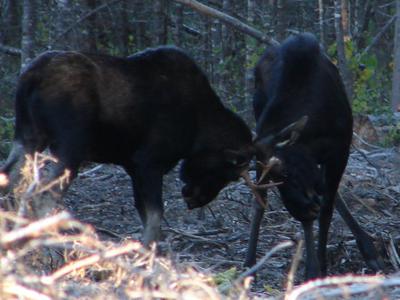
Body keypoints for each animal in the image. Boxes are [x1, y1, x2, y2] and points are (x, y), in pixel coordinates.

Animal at [0, 46, 256, 244]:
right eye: (230, 173)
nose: (195, 200)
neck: (199, 130)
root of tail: (30, 78)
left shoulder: (133, 166)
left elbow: (145, 214)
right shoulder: (149, 162)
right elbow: (155, 217)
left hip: (28, 134)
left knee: (10, 179)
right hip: (71, 146)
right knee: (42, 195)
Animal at [245, 34, 382, 280]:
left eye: (285, 171)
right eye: (276, 177)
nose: (304, 208)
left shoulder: (340, 149)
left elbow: (326, 209)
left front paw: (321, 265)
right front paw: (313, 268)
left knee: (329, 196)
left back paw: (367, 247)